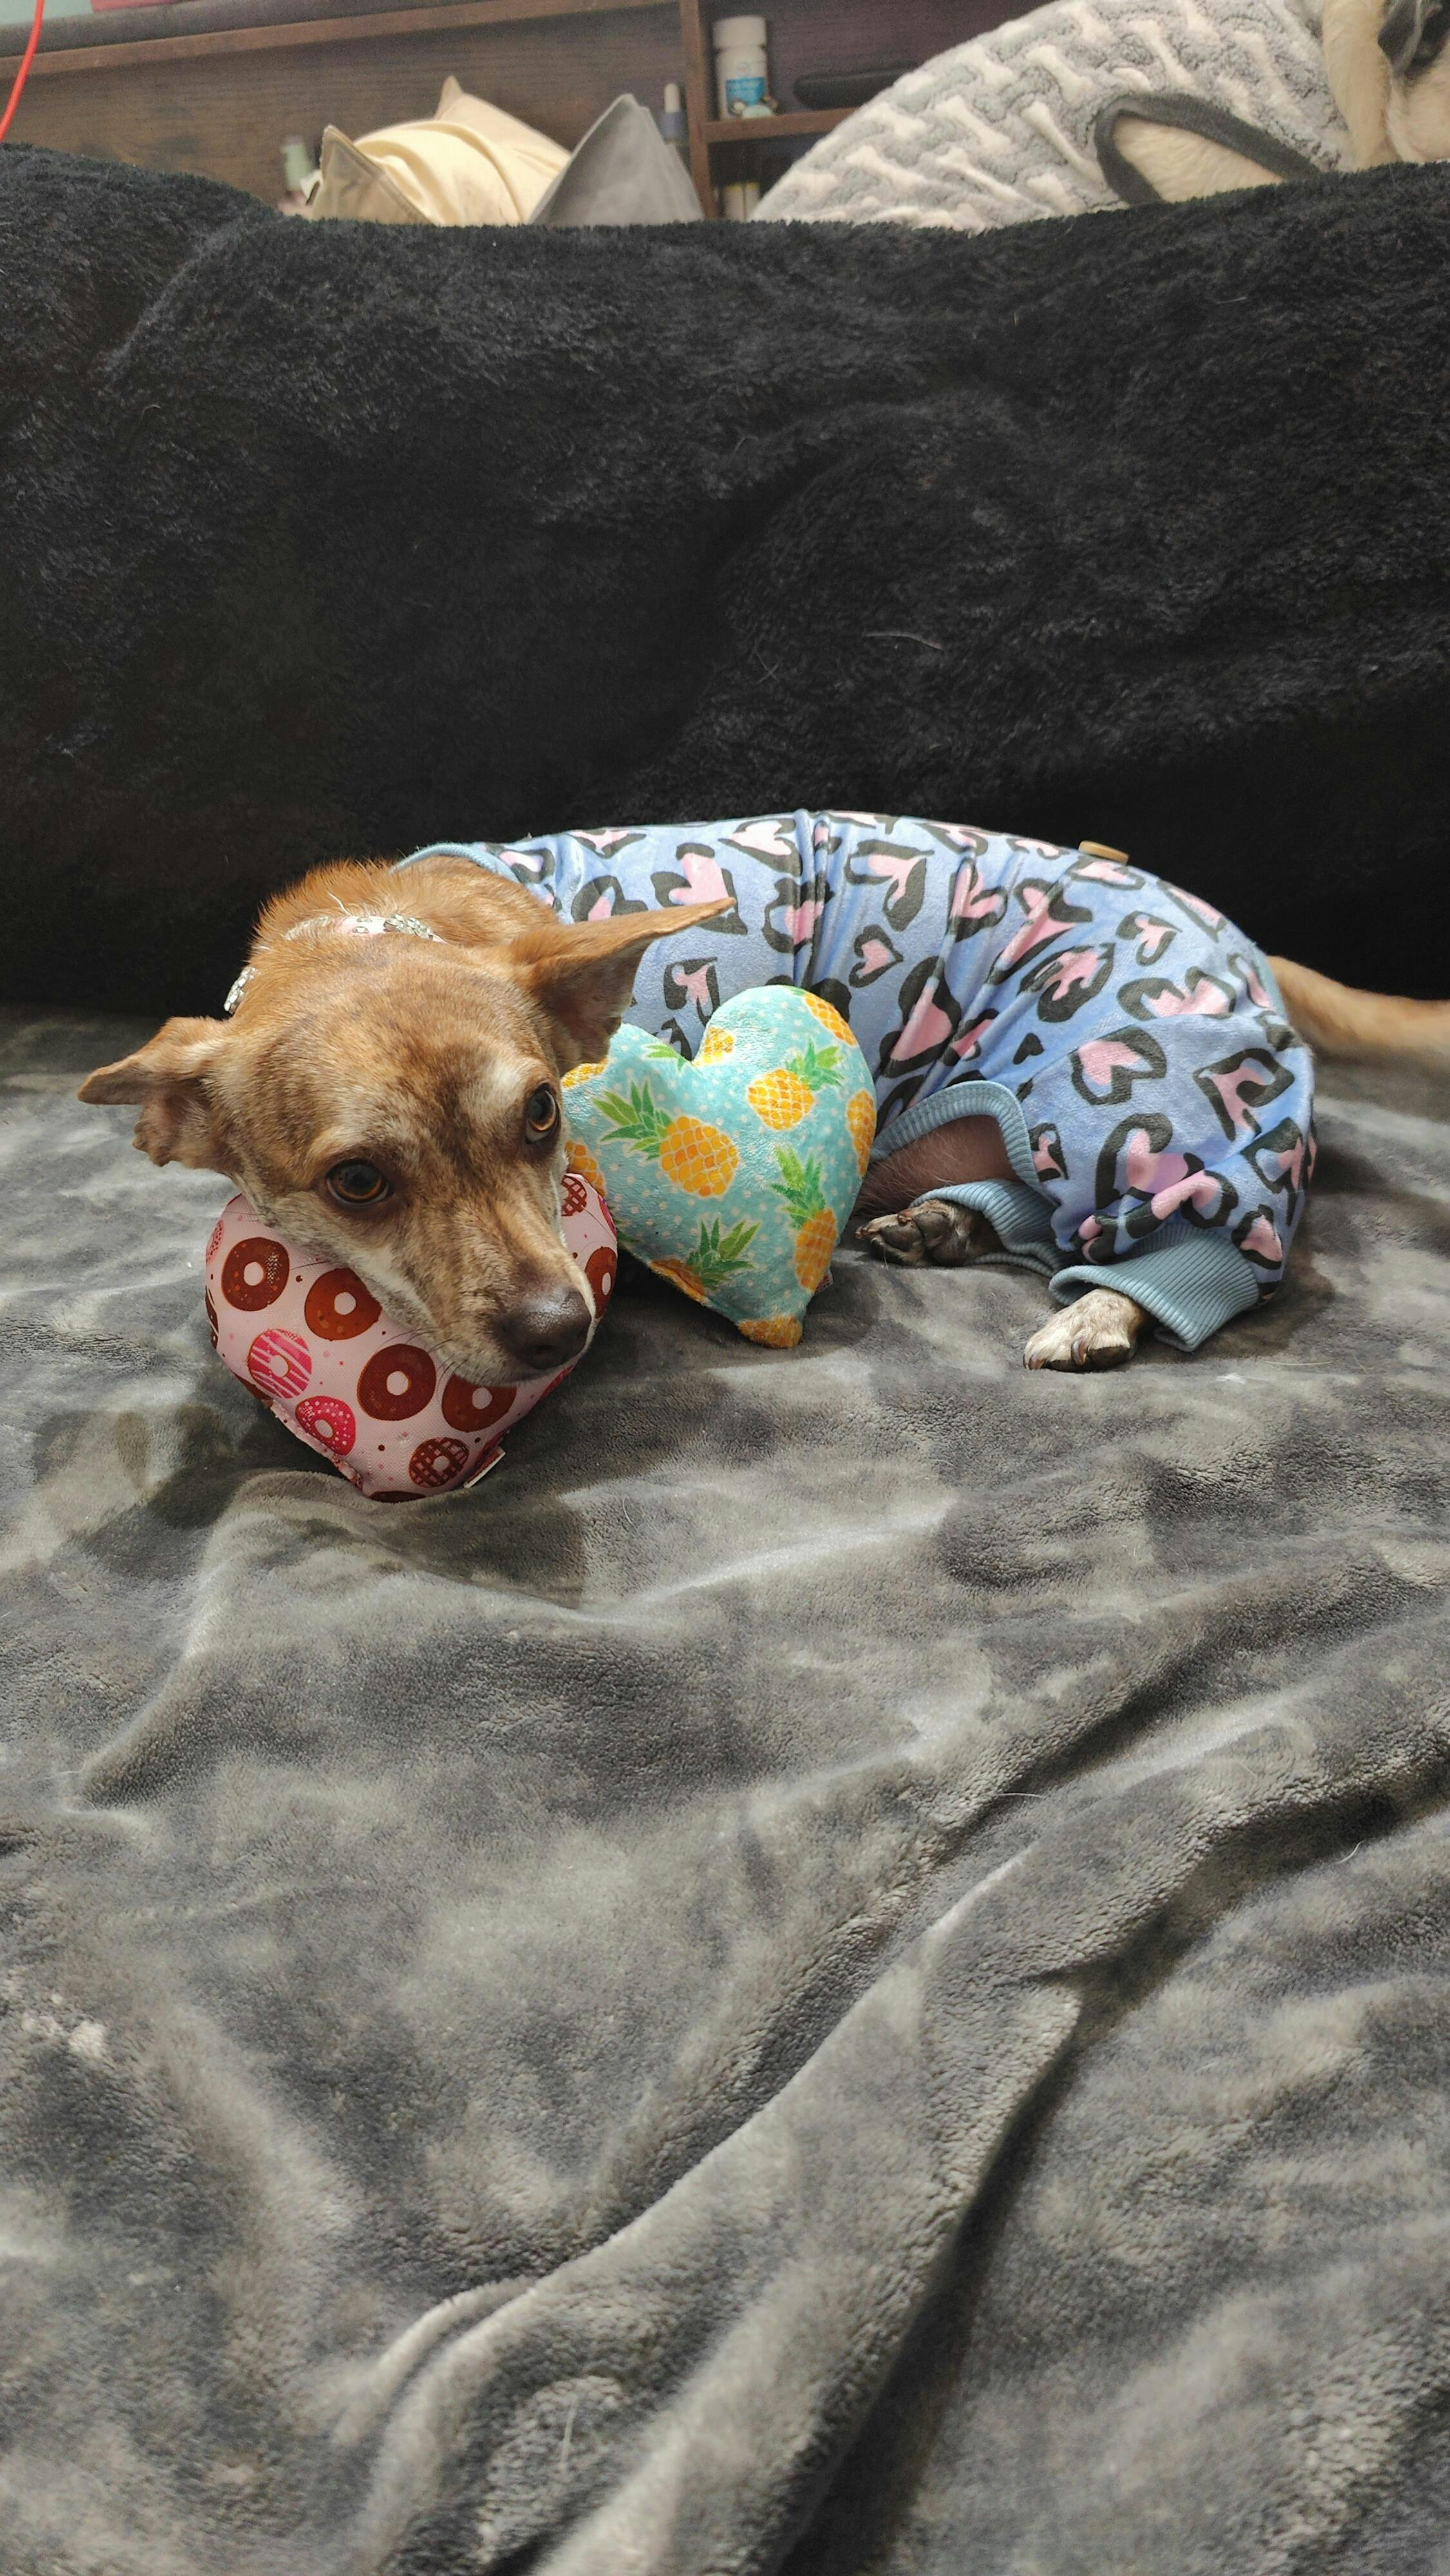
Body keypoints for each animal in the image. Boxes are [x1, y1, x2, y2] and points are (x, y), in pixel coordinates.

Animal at [78, 814, 1449, 1377]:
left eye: (544, 1115)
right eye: (356, 1182)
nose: (558, 1333)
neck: (375, 928)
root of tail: (1231, 926)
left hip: (1128, 1085)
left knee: (1190, 1233)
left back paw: (1109, 1310)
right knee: (1024, 1199)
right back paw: (941, 1225)